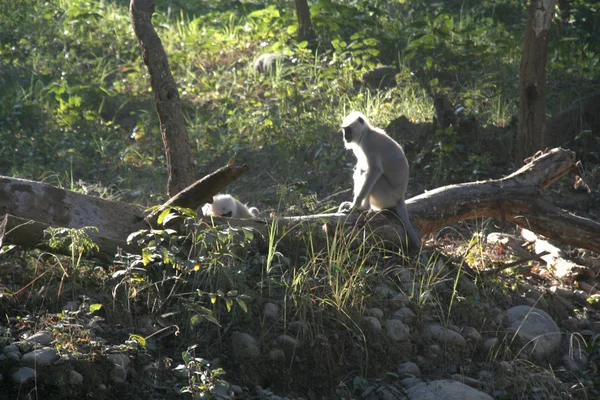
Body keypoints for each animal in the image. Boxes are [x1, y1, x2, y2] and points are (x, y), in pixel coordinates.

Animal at [338, 111, 422, 252]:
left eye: (348, 130)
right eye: (344, 130)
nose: (345, 137)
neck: (366, 132)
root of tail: (400, 198)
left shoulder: (369, 143)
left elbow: (375, 171)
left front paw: (354, 206)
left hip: (387, 197)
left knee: (373, 177)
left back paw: (363, 207)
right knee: (361, 170)